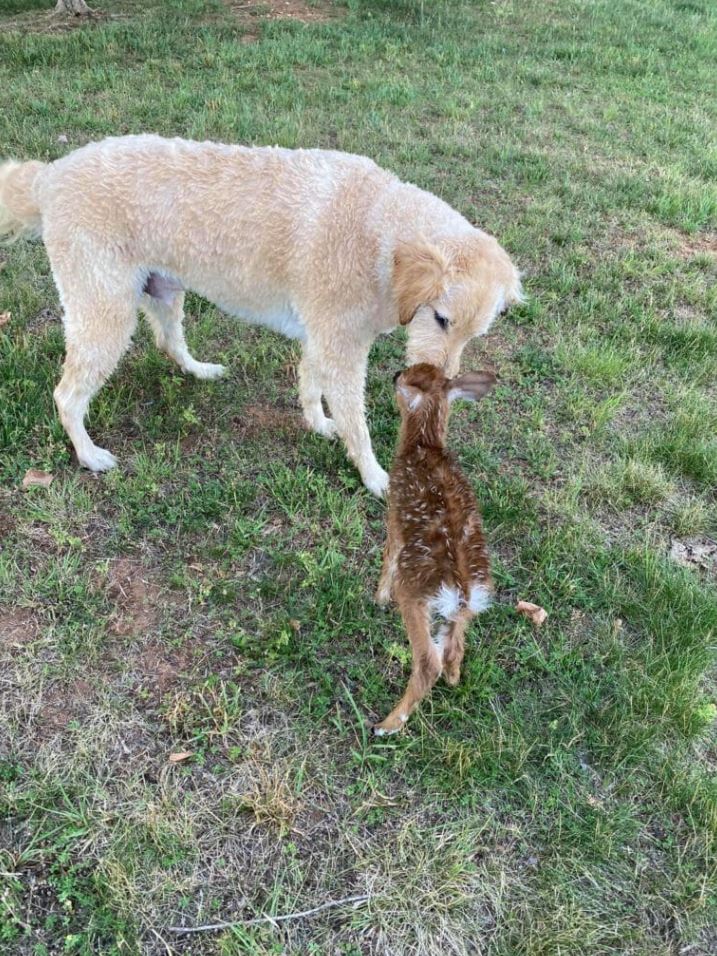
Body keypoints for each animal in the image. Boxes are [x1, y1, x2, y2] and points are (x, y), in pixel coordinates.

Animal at [0, 138, 520, 496]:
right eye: (441, 319)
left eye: (474, 334)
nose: (443, 386)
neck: (380, 231)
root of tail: (50, 176)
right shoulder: (341, 349)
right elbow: (357, 423)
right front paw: (374, 475)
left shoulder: (322, 339)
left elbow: (310, 385)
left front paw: (318, 424)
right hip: (105, 316)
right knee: (67, 395)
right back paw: (89, 455)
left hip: (162, 291)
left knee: (168, 343)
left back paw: (200, 370)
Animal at [372, 360, 496, 732]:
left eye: (408, 377)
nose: (394, 374)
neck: (424, 444)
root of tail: (462, 590)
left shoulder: (394, 517)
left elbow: (388, 557)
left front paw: (377, 598)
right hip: (462, 611)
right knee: (454, 650)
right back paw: (454, 680)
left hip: (414, 593)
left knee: (429, 661)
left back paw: (386, 724)